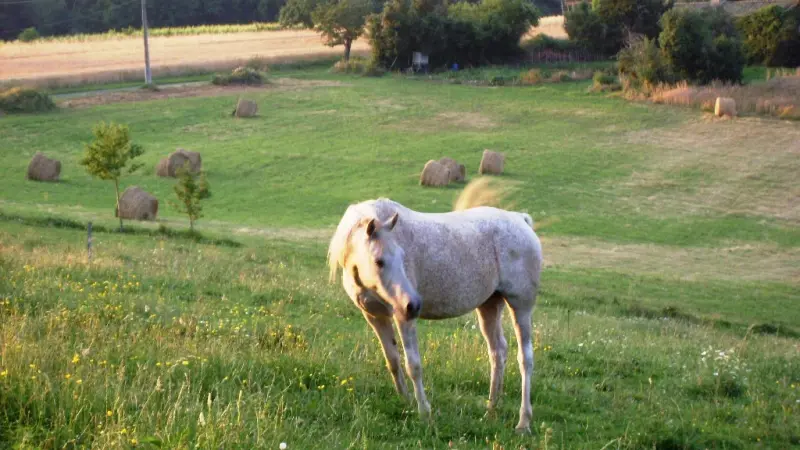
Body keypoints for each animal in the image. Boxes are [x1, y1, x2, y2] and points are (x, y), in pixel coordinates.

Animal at [324, 177, 544, 432]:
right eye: (379, 261)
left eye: (403, 256)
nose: (413, 305)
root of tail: (521, 220)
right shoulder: (375, 317)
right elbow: (393, 360)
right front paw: (406, 401)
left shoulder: (402, 318)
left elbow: (413, 365)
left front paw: (424, 412)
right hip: (489, 306)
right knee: (497, 352)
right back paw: (491, 409)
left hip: (521, 307)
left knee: (525, 358)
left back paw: (523, 422)